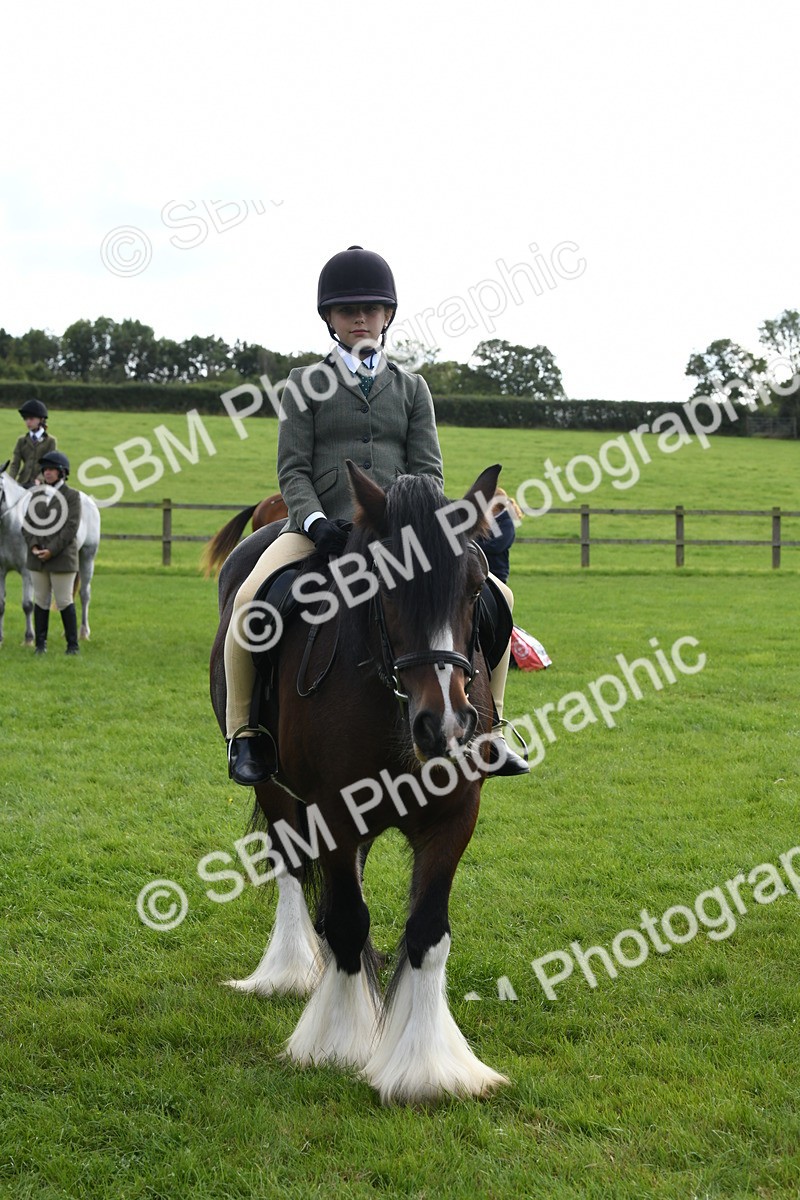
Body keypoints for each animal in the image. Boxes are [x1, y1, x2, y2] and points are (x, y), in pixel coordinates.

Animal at [210, 461, 510, 1105]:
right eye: (385, 584)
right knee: (294, 870)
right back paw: (290, 969)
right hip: (274, 789)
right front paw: (339, 1042)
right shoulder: (333, 811)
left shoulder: (455, 816)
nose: (446, 725)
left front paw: (428, 1066)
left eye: (476, 588)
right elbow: (348, 920)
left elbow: (427, 932)